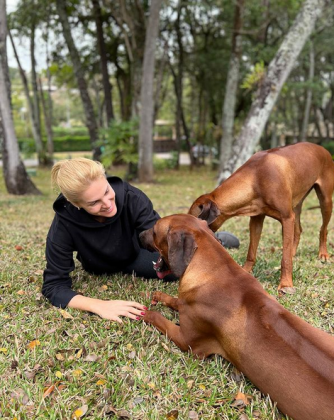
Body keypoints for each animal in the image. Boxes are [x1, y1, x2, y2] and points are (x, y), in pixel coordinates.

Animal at [140, 215, 334, 420]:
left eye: (154, 230)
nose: (138, 235)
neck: (215, 270)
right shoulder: (185, 303)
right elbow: (177, 301)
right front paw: (160, 296)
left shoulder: (188, 341)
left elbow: (158, 317)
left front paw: (143, 312)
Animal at [188, 141, 334, 292]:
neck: (255, 178)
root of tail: (320, 147)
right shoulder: (256, 219)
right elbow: (251, 251)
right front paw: (245, 271)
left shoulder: (287, 218)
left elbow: (285, 259)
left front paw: (286, 284)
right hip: (297, 201)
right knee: (298, 230)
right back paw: (294, 252)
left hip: (325, 200)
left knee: (323, 229)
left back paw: (323, 254)